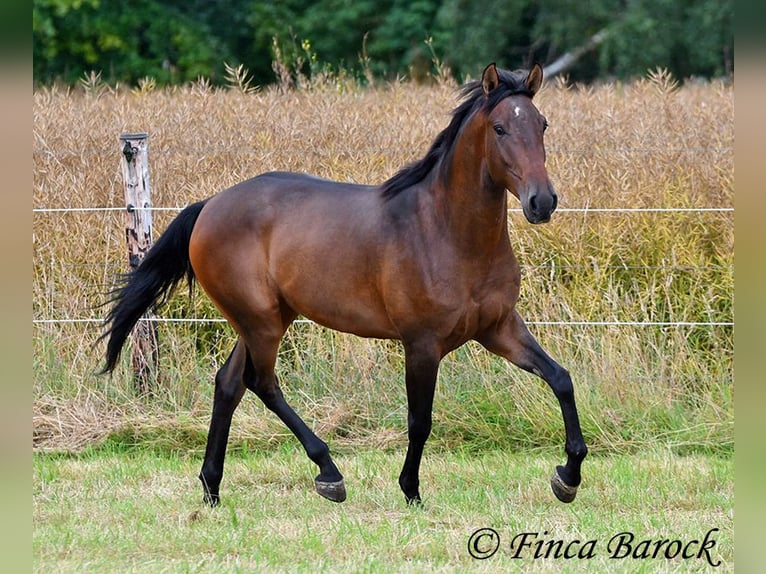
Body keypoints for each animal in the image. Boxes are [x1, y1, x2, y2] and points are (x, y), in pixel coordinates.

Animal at [102, 64, 592, 508]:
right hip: (261, 321)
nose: (542, 201)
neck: (447, 232)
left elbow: (561, 378)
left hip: (264, 318)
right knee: (262, 383)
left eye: (542, 124)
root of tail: (209, 205)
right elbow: (420, 419)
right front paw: (410, 490)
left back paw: (212, 488)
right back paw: (329, 474)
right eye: (499, 127)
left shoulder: (498, 328)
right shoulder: (422, 343)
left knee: (229, 384)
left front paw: (567, 476)